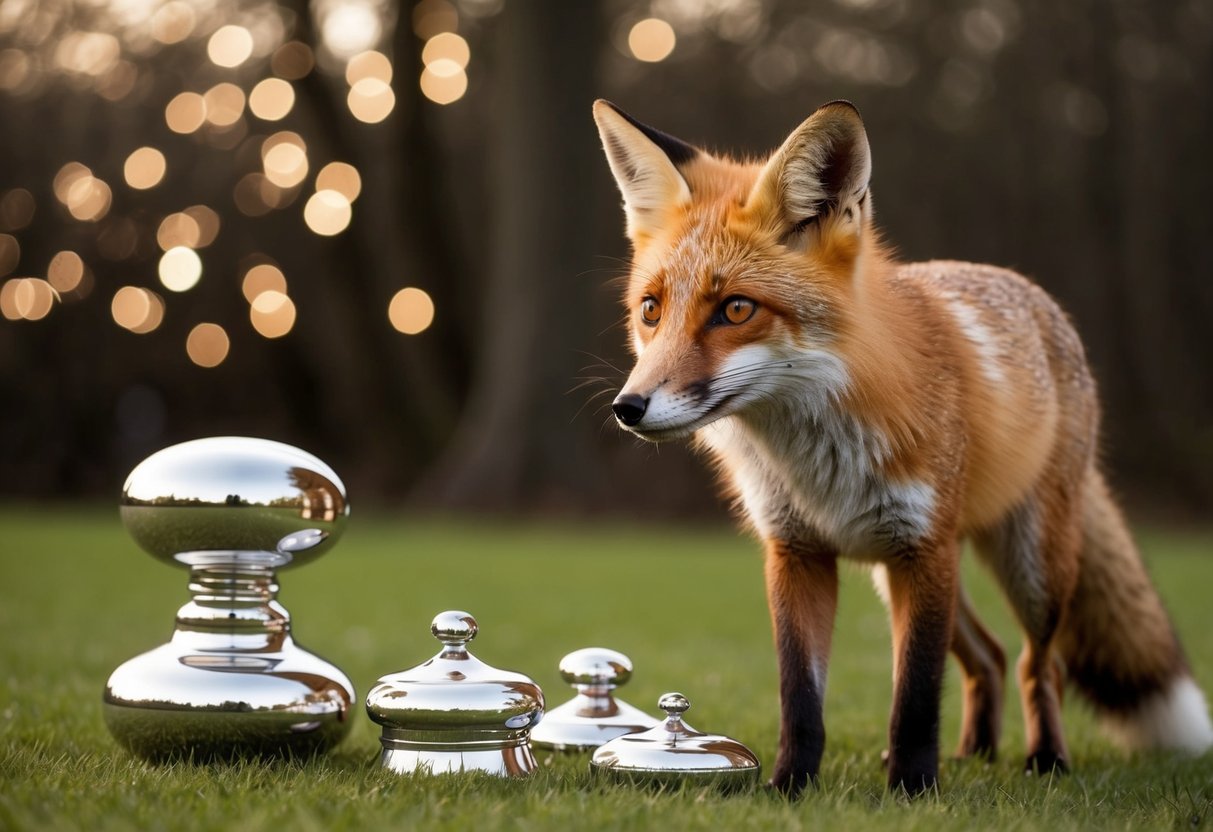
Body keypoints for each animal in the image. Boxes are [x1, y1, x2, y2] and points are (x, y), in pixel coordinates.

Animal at [591, 98, 1213, 795]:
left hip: (1028, 568)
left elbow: (914, 694)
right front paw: (790, 787)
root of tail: (1038, 297)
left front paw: (914, 790)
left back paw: (1044, 759)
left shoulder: (922, 549)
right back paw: (974, 752)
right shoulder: (798, 552)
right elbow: (800, 697)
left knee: (1038, 664)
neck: (817, 459)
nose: (628, 408)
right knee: (989, 656)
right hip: (901, 574)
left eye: (736, 309)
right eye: (650, 309)